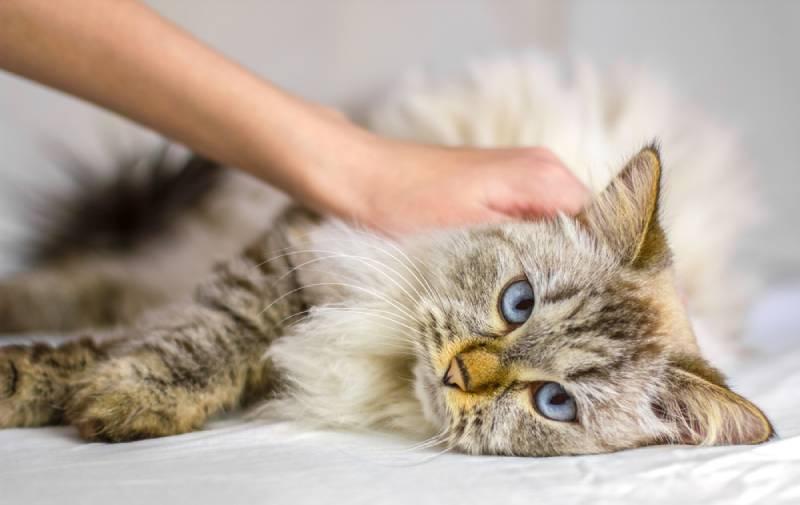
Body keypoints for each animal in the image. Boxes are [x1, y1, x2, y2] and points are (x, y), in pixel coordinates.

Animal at [0, 57, 776, 454]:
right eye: (517, 302)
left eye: (553, 401)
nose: (460, 372)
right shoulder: (289, 255)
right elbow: (210, 336)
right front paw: (114, 391)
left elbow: (150, 339)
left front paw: (100, 396)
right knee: (92, 284)